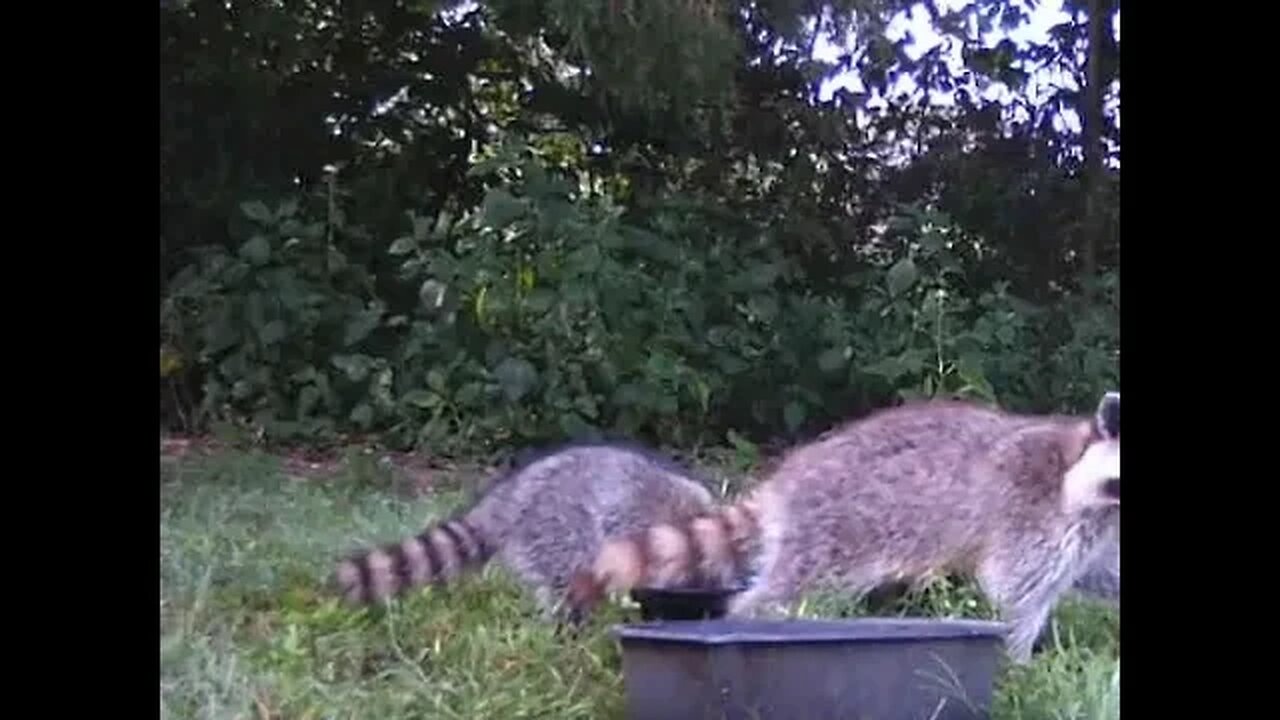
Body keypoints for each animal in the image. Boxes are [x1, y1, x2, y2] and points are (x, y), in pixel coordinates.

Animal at [570, 392, 1121, 661]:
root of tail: (789, 478)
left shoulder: (1098, 531)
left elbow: (1102, 573)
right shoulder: (1028, 510)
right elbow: (1016, 593)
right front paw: (1017, 663)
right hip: (836, 528)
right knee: (789, 592)